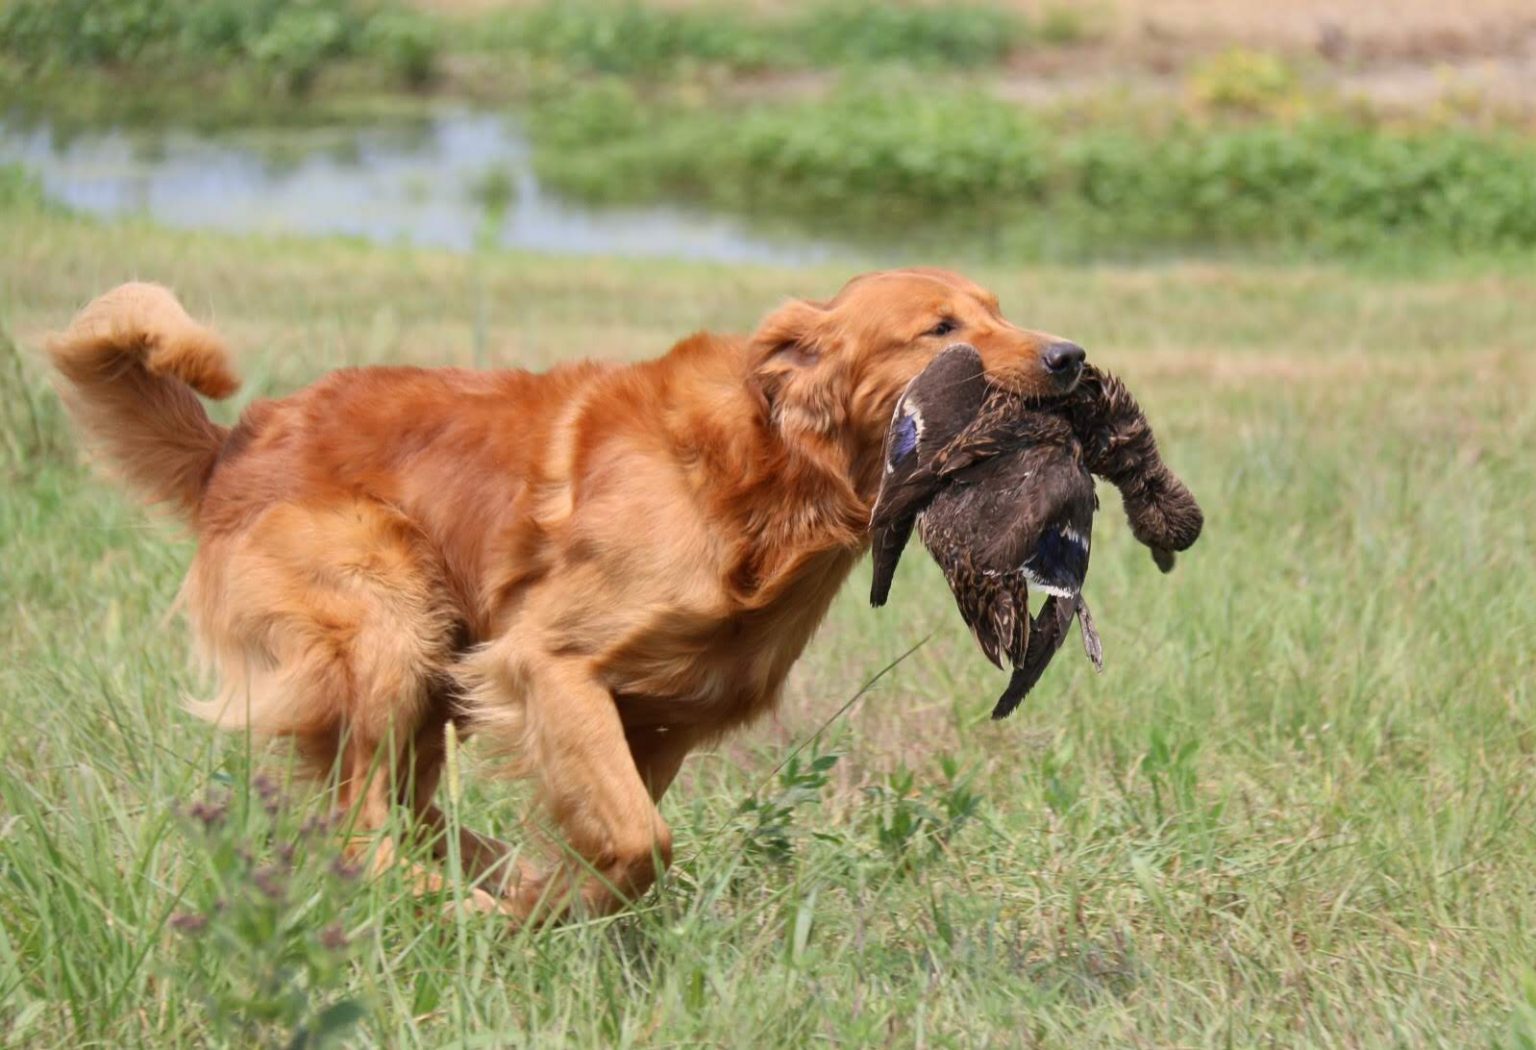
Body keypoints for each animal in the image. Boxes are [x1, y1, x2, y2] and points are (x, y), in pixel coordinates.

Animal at [44, 270, 1081, 921]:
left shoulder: (664, 718)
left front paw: (554, 897)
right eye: (942, 330)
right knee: (361, 826)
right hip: (392, 626)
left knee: (400, 811)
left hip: (422, 672)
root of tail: (234, 444)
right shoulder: (547, 663)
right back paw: (457, 903)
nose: (1070, 358)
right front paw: (546, 908)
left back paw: (490, 877)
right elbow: (640, 839)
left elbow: (628, 840)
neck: (765, 475)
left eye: (1000, 311)